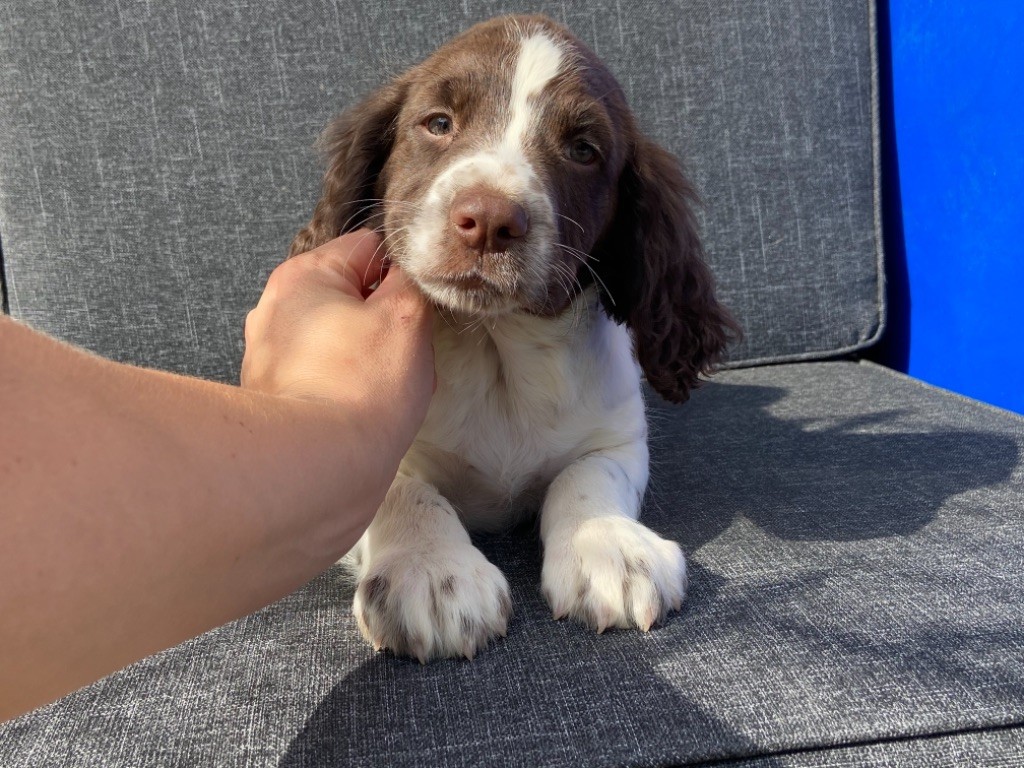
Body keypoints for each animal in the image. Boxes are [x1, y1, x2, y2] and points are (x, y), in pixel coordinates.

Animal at [288, 13, 737, 663]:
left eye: (583, 150)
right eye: (438, 123)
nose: (489, 220)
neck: (494, 346)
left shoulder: (618, 438)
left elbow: (586, 478)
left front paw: (611, 547)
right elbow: (404, 492)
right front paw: (433, 572)